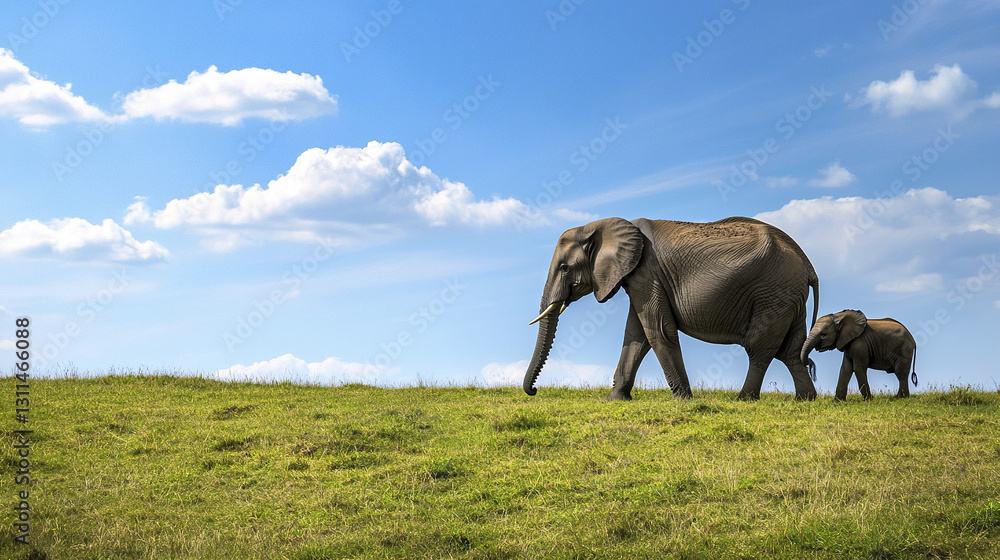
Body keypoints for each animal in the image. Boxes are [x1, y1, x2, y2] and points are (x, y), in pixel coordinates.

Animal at [523, 216, 820, 401]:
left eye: (564, 268)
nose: (534, 391)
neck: (600, 225)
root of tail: (807, 265)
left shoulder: (647, 273)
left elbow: (658, 330)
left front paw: (684, 400)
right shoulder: (639, 277)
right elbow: (636, 335)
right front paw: (616, 399)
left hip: (773, 292)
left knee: (759, 348)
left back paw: (743, 400)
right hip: (788, 298)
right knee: (790, 351)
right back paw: (805, 400)